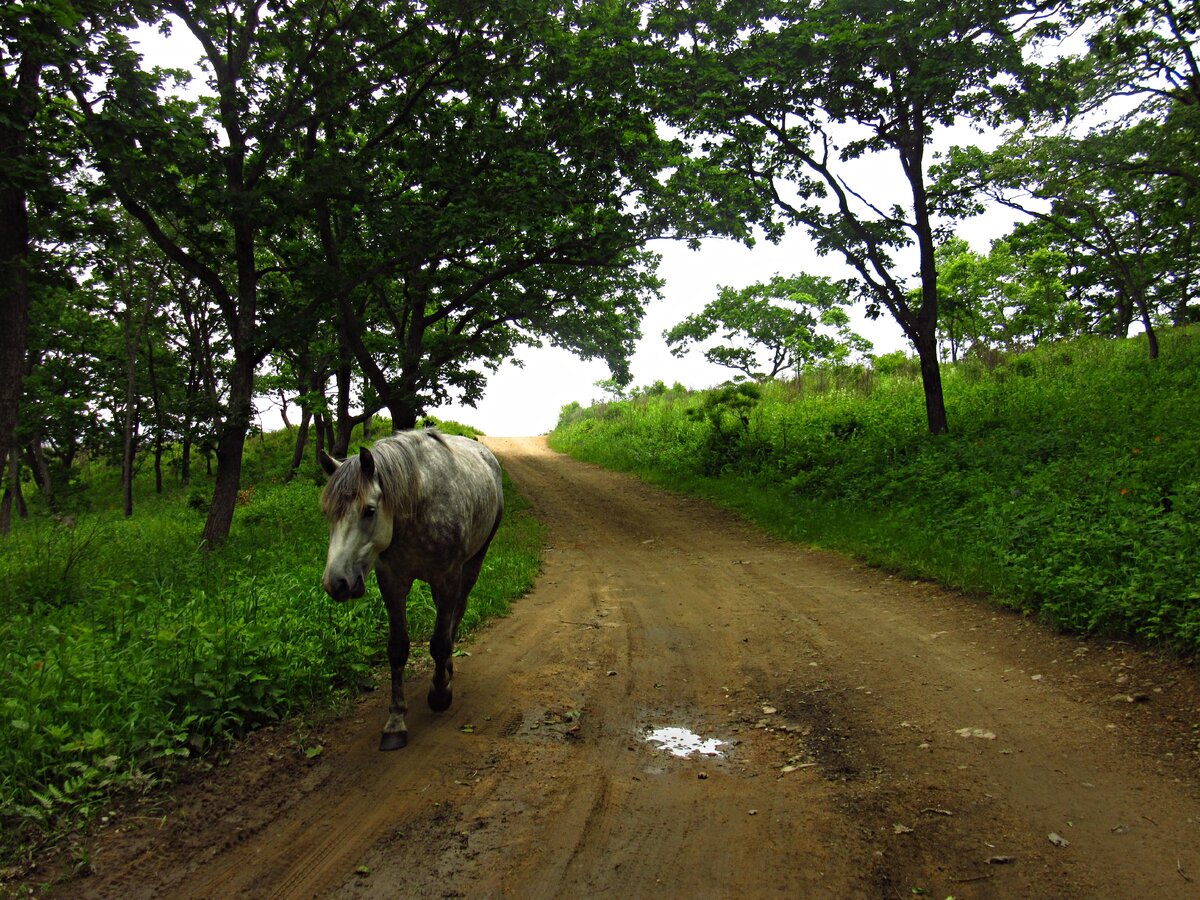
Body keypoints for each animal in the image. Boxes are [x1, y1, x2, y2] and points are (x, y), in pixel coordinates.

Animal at [319, 427, 501, 748]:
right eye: (328, 513)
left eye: (369, 510)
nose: (336, 582)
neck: (418, 503)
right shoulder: (392, 582)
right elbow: (397, 648)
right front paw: (395, 720)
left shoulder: (447, 578)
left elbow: (440, 642)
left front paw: (440, 694)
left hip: (473, 562)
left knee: (457, 613)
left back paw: (446, 672)